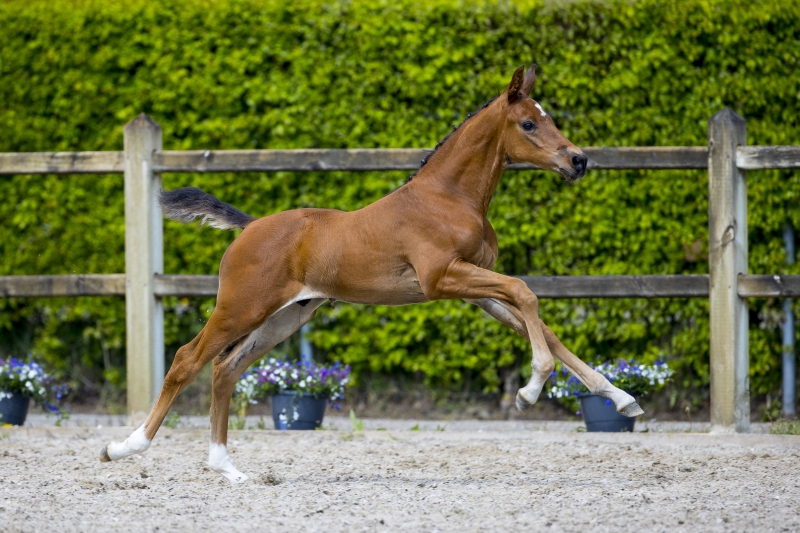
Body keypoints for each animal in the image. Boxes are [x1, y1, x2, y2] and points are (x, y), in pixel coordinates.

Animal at [100, 63, 648, 482]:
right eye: (530, 125)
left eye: (547, 118)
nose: (579, 161)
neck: (448, 197)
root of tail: (250, 226)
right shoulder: (443, 279)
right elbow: (527, 293)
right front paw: (530, 390)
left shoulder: (473, 287)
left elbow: (542, 325)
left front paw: (622, 400)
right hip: (241, 306)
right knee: (187, 360)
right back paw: (125, 447)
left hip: (286, 316)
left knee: (224, 368)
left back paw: (226, 468)